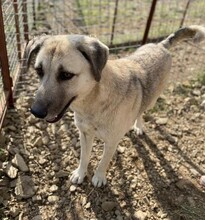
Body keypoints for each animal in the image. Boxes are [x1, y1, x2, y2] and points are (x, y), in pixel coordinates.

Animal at [25, 25, 205, 187]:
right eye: (38, 71)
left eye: (66, 75)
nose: (35, 111)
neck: (94, 101)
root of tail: (160, 45)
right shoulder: (85, 134)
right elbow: (84, 157)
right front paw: (80, 173)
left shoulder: (112, 142)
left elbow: (103, 162)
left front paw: (98, 177)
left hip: (152, 98)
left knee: (142, 110)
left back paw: (138, 126)